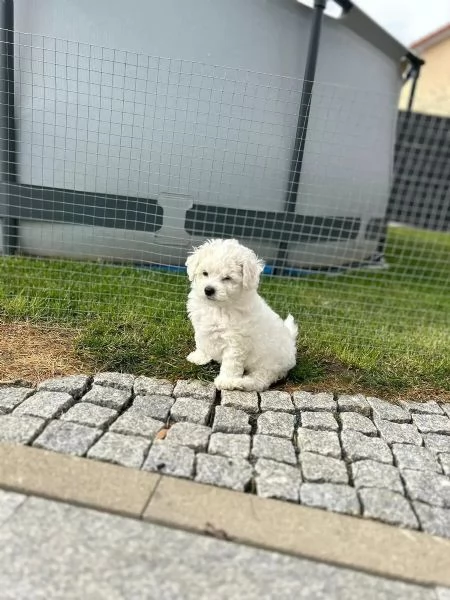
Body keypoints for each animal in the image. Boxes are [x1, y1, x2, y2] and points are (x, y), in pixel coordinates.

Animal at [185, 239, 298, 394]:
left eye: (227, 278)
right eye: (205, 273)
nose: (208, 290)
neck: (219, 307)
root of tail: (291, 344)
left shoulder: (236, 342)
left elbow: (231, 363)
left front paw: (226, 381)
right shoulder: (201, 327)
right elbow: (201, 342)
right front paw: (199, 357)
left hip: (269, 366)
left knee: (260, 381)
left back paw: (240, 383)